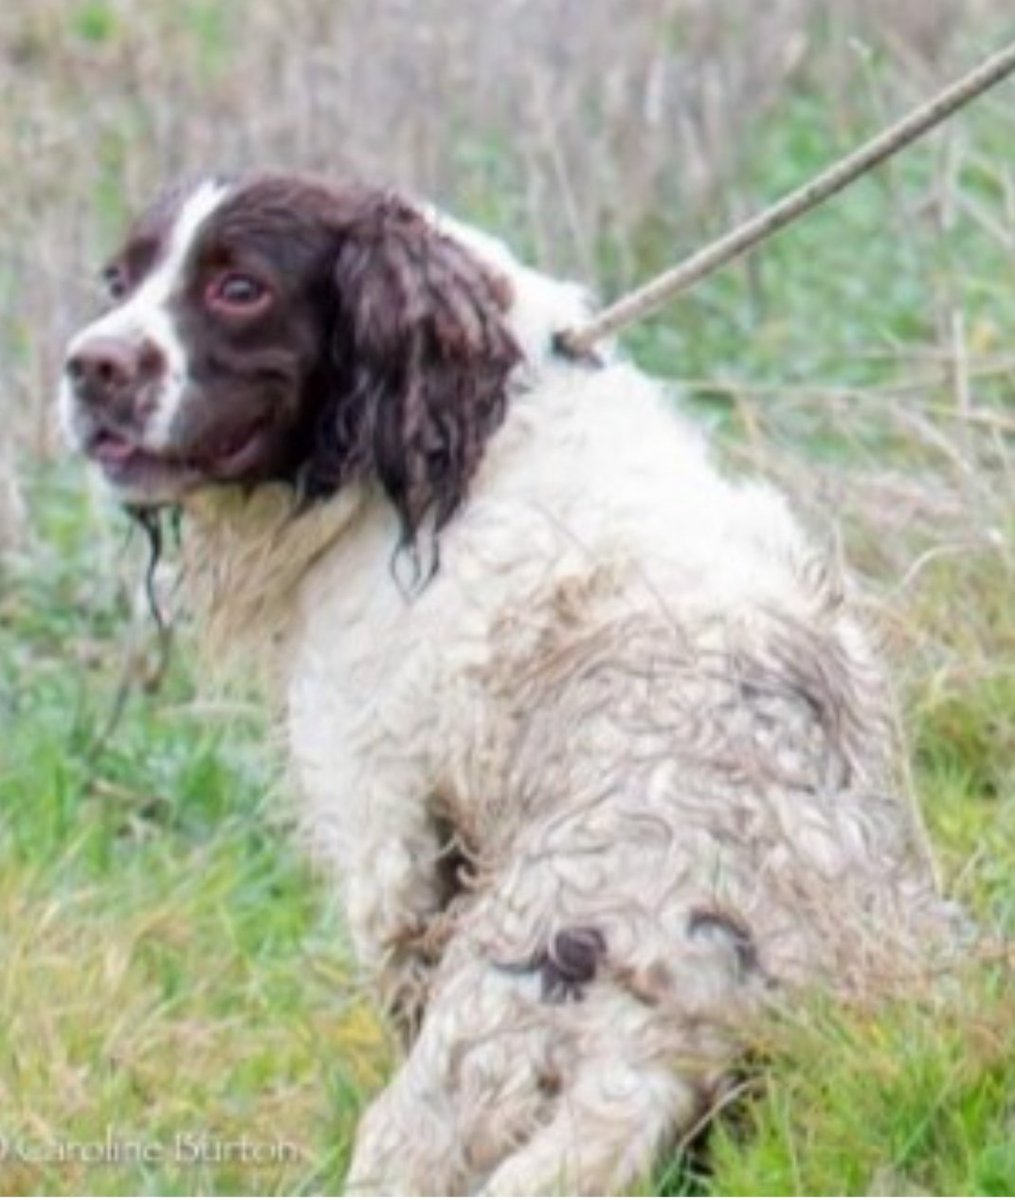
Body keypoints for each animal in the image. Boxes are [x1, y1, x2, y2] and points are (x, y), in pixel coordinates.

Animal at [57, 174, 959, 1195]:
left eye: (238, 288)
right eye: (118, 279)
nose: (88, 367)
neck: (458, 446)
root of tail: (663, 1031)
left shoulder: (388, 823)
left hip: (455, 1074)